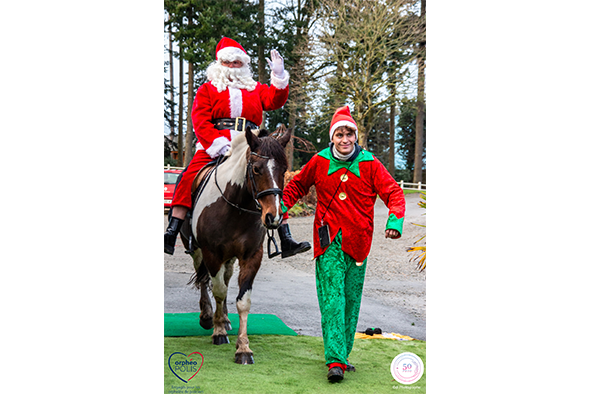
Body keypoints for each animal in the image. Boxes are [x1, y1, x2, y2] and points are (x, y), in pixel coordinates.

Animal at [180, 127, 292, 364]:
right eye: (256, 169)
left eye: (285, 169)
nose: (273, 217)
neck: (236, 208)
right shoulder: (211, 254)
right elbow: (219, 290)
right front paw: (218, 332)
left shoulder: (252, 256)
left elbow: (243, 300)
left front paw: (243, 347)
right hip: (198, 252)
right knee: (205, 280)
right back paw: (208, 317)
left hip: (230, 258)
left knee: (226, 277)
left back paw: (224, 318)